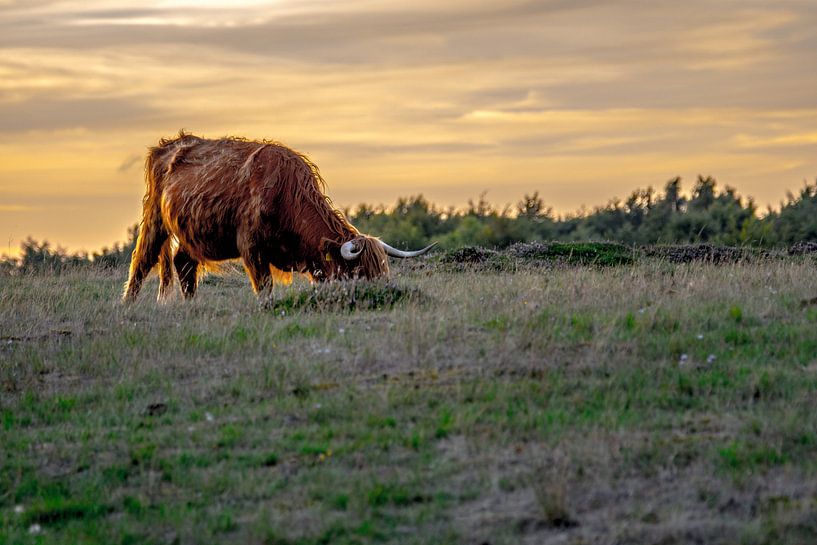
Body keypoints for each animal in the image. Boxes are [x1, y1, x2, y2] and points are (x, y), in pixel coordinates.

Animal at [121, 132, 434, 302]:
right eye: (359, 274)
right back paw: (127, 304)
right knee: (142, 261)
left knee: (184, 263)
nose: (382, 294)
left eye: (381, 272)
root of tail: (168, 145)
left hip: (192, 231)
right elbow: (264, 287)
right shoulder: (251, 248)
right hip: (154, 219)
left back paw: (191, 305)